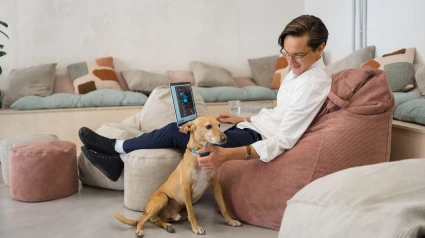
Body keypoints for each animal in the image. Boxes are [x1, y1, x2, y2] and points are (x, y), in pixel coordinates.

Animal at [112, 115, 240, 236]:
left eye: (219, 125)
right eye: (208, 126)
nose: (225, 138)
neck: (200, 155)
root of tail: (145, 210)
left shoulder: (216, 185)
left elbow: (223, 207)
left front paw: (230, 220)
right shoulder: (186, 188)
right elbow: (192, 212)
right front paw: (196, 228)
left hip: (178, 215)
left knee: (156, 220)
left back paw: (168, 226)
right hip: (162, 200)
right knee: (143, 220)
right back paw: (140, 230)